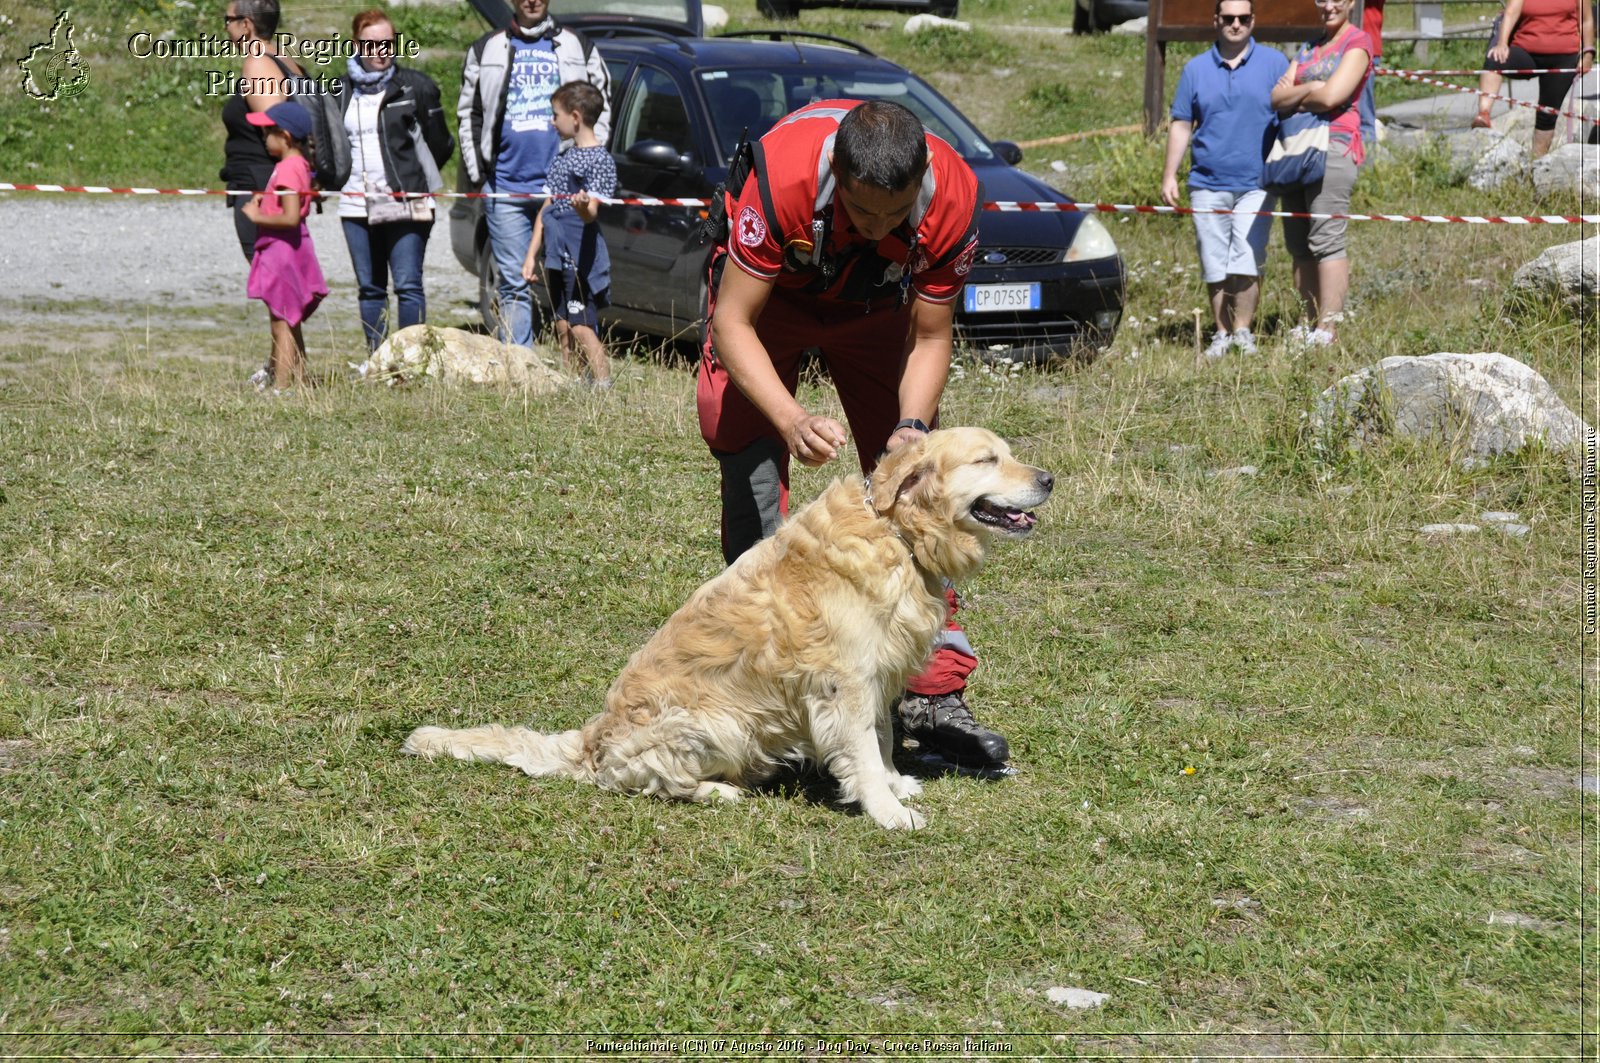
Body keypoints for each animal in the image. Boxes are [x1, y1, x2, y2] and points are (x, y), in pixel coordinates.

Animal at [400, 425, 1049, 832]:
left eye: (1006, 452)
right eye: (986, 459)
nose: (1047, 478)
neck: (896, 535)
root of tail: (591, 740)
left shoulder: (877, 676)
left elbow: (884, 739)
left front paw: (895, 784)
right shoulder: (842, 684)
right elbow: (863, 749)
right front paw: (887, 811)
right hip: (716, 724)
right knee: (642, 782)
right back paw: (719, 791)